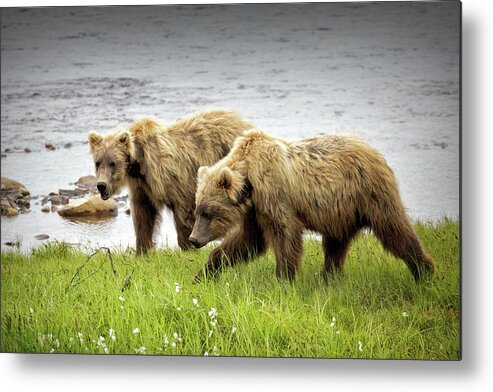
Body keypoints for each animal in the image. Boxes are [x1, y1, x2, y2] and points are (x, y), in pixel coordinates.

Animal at [86, 108, 252, 253]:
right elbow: (143, 216)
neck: (138, 165)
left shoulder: (174, 180)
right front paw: (142, 251)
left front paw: (187, 248)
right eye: (98, 162)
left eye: (113, 163)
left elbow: (183, 213)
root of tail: (244, 121)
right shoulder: (142, 187)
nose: (101, 185)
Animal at [188, 130, 434, 280]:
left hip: (369, 193)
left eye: (208, 212)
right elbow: (248, 241)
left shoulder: (275, 196)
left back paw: (424, 270)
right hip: (341, 211)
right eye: (197, 210)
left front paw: (284, 278)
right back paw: (329, 276)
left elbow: (285, 236)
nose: (193, 239)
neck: (249, 179)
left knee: (394, 228)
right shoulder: (255, 211)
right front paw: (205, 273)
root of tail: (374, 151)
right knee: (336, 244)